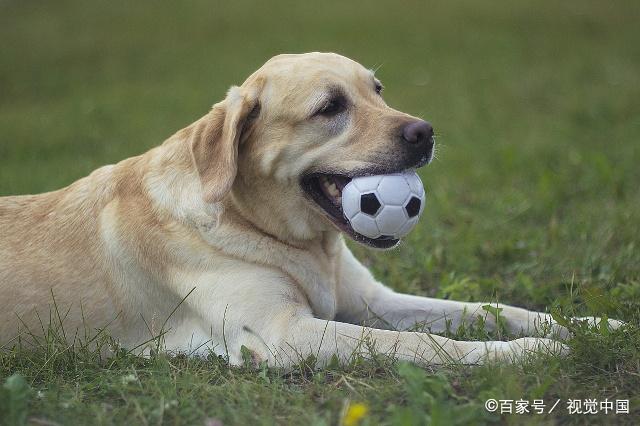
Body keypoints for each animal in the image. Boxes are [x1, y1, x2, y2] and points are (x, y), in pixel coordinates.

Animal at [0, 52, 620, 366]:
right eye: (330, 107)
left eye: (377, 90)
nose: (425, 132)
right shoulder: (284, 334)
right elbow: (427, 344)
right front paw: (528, 352)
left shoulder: (371, 301)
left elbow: (488, 308)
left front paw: (589, 325)